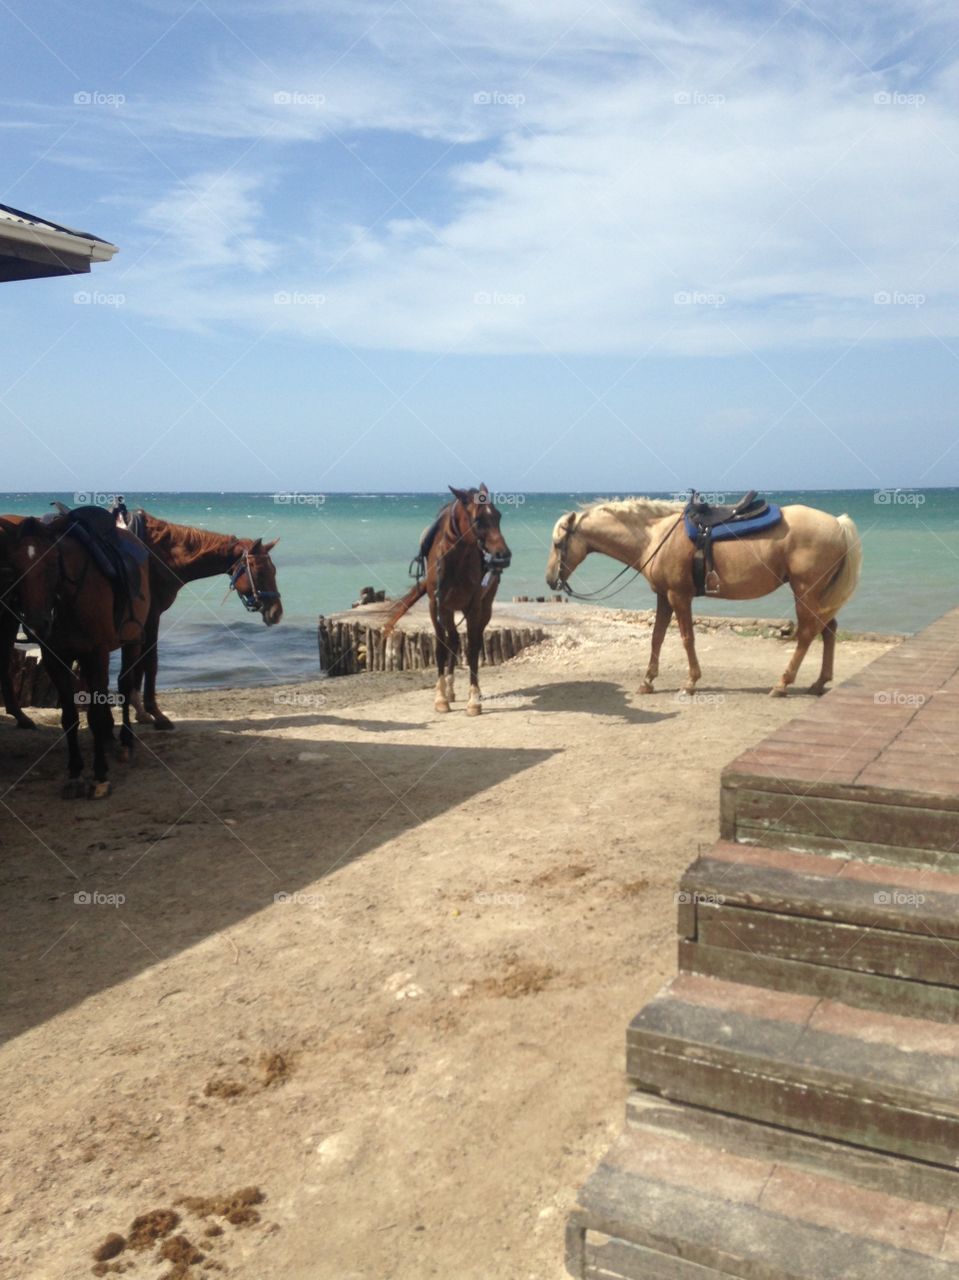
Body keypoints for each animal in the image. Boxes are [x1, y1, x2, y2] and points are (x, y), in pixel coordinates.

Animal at [8, 513, 151, 797]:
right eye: (15, 565)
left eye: (53, 562)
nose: (37, 624)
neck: (67, 598)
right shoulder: (55, 659)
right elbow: (70, 717)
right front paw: (75, 773)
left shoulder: (95, 654)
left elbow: (93, 715)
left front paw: (99, 775)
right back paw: (108, 739)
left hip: (132, 641)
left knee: (125, 684)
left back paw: (125, 741)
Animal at [119, 511, 281, 730]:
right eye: (259, 571)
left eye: (273, 570)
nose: (277, 612)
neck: (154, 555)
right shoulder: (151, 616)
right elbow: (150, 662)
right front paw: (156, 713)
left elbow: (139, 663)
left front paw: (141, 711)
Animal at [384, 486, 511, 714]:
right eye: (478, 520)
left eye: (498, 516)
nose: (503, 556)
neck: (455, 561)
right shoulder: (437, 606)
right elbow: (441, 648)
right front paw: (441, 698)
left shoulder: (474, 607)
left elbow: (472, 649)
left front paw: (474, 700)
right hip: (449, 610)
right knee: (452, 640)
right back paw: (449, 690)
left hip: (484, 608)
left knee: (469, 640)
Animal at [545, 497, 862, 697]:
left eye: (558, 543)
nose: (550, 580)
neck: (654, 536)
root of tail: (837, 523)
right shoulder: (663, 596)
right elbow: (657, 637)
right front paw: (647, 681)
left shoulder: (679, 595)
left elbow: (687, 638)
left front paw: (690, 682)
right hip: (819, 593)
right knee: (829, 630)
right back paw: (819, 682)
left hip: (806, 591)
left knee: (808, 633)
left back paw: (782, 684)